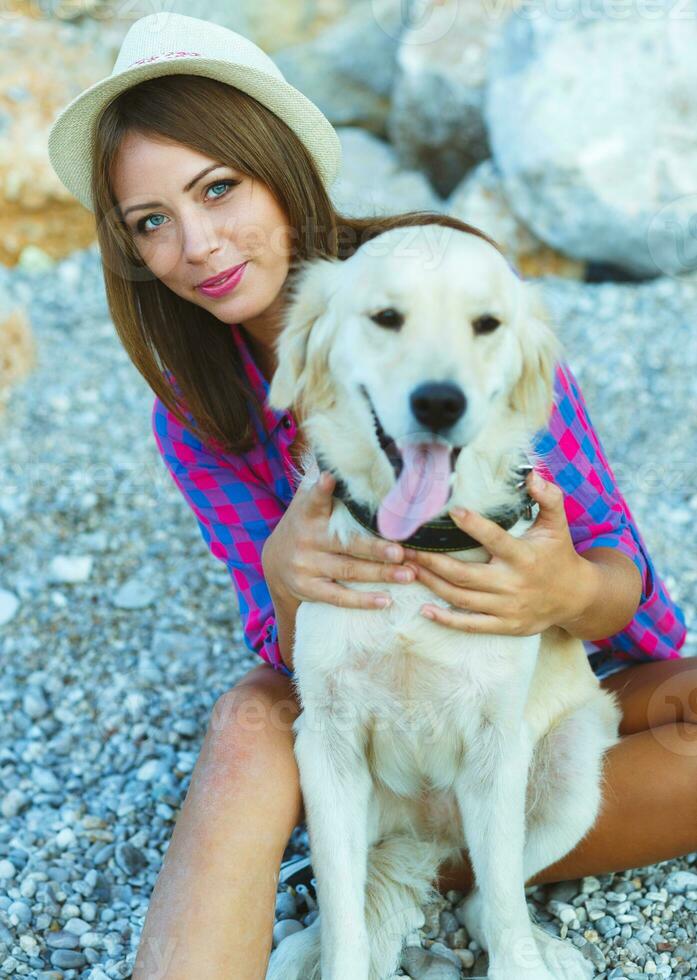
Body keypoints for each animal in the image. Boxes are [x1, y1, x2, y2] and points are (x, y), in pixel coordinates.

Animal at [266, 226, 620, 980]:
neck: (416, 551)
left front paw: (521, 961)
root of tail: (426, 834)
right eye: (385, 318)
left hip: (571, 771)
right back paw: (301, 947)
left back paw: (546, 950)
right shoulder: (328, 746)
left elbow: (505, 904)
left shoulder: (496, 747)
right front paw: (332, 952)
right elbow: (343, 917)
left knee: (488, 899)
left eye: (486, 324)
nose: (438, 402)